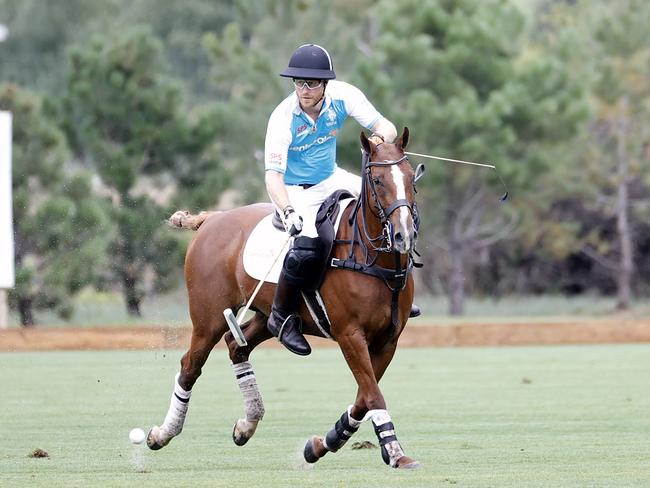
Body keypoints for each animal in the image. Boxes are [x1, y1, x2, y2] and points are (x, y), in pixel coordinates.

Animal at [146, 129, 420, 468]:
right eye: (378, 181)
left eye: (411, 178)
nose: (403, 235)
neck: (371, 258)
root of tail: (212, 219)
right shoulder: (350, 335)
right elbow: (372, 394)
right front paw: (395, 451)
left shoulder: (387, 340)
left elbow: (363, 397)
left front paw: (321, 444)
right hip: (207, 317)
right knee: (190, 365)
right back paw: (162, 434)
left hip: (266, 316)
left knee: (237, 344)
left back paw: (247, 424)